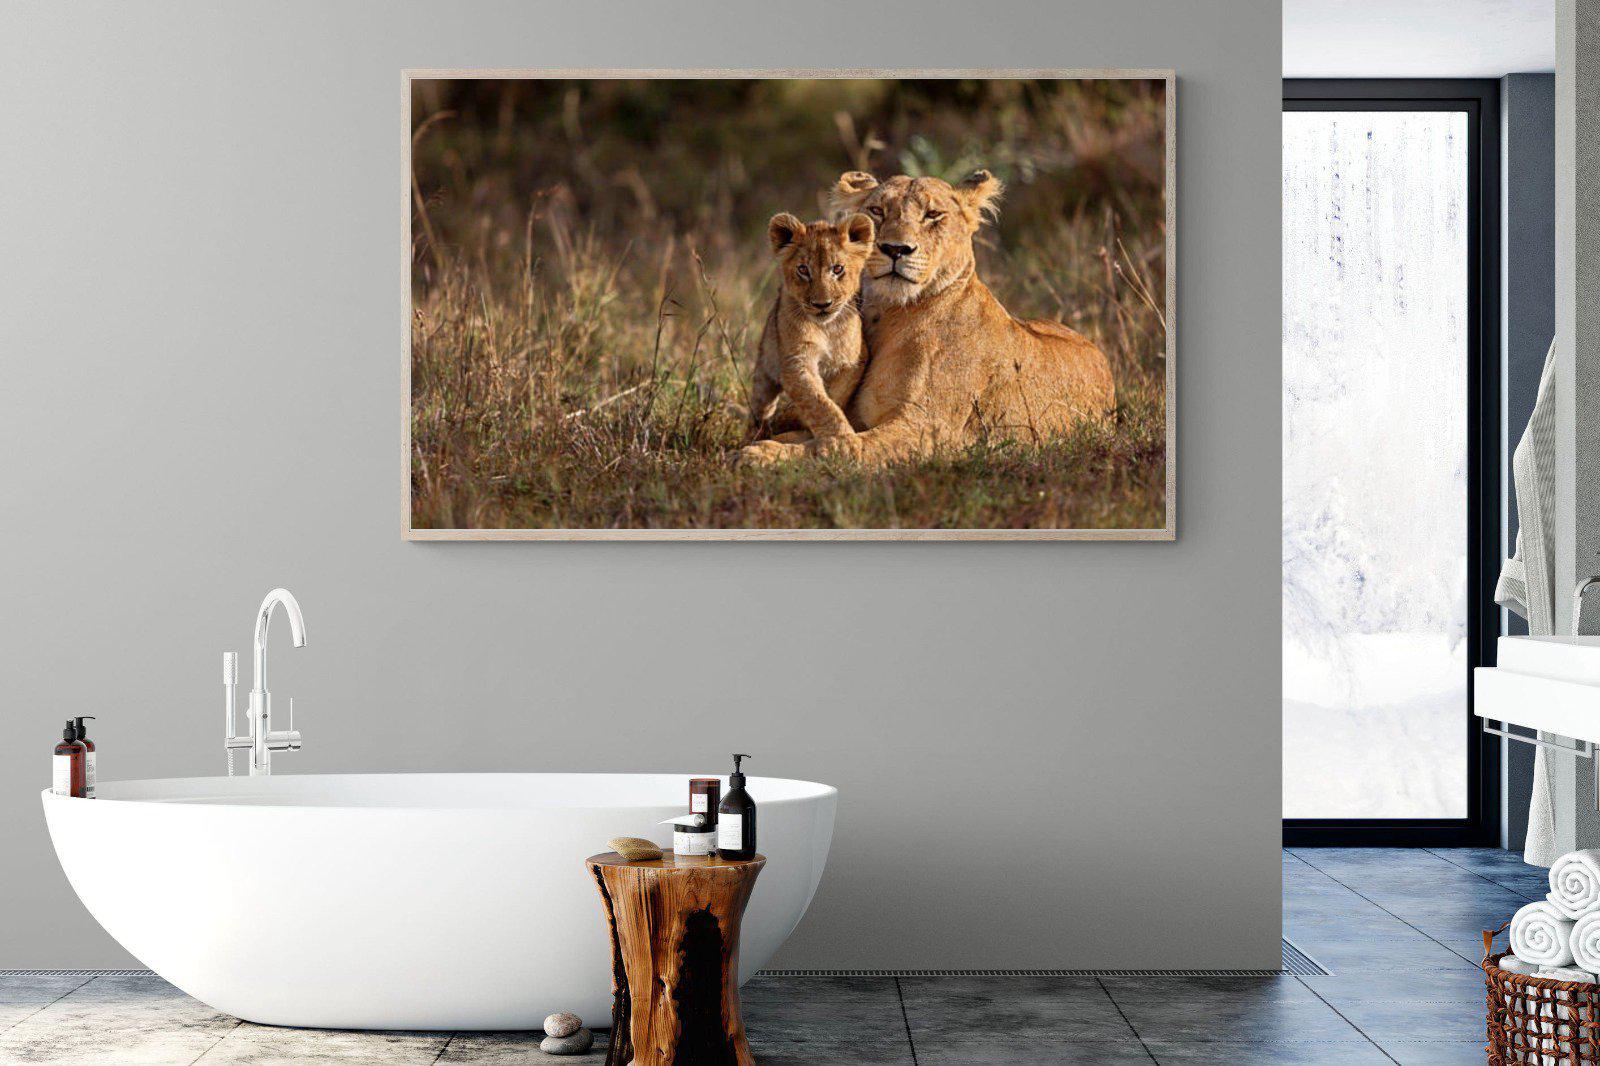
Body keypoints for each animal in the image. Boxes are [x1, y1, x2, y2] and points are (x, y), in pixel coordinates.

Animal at [748, 211, 875, 442]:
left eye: (837, 269)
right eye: (803, 269)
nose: (822, 304)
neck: (826, 328)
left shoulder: (855, 359)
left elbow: (834, 394)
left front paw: (795, 418)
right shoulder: (796, 360)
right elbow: (817, 401)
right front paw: (842, 440)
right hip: (765, 370)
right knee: (759, 409)